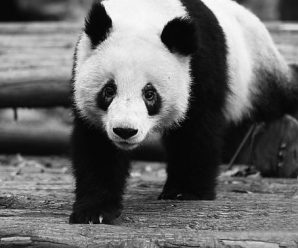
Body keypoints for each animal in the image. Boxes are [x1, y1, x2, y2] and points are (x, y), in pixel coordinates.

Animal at [68, 0, 298, 224]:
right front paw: (95, 211)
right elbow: (98, 147)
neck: (140, 14)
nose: (125, 131)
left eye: (149, 94)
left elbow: (196, 128)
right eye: (109, 90)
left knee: (280, 95)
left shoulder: (199, 66)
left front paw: (186, 191)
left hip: (255, 69)